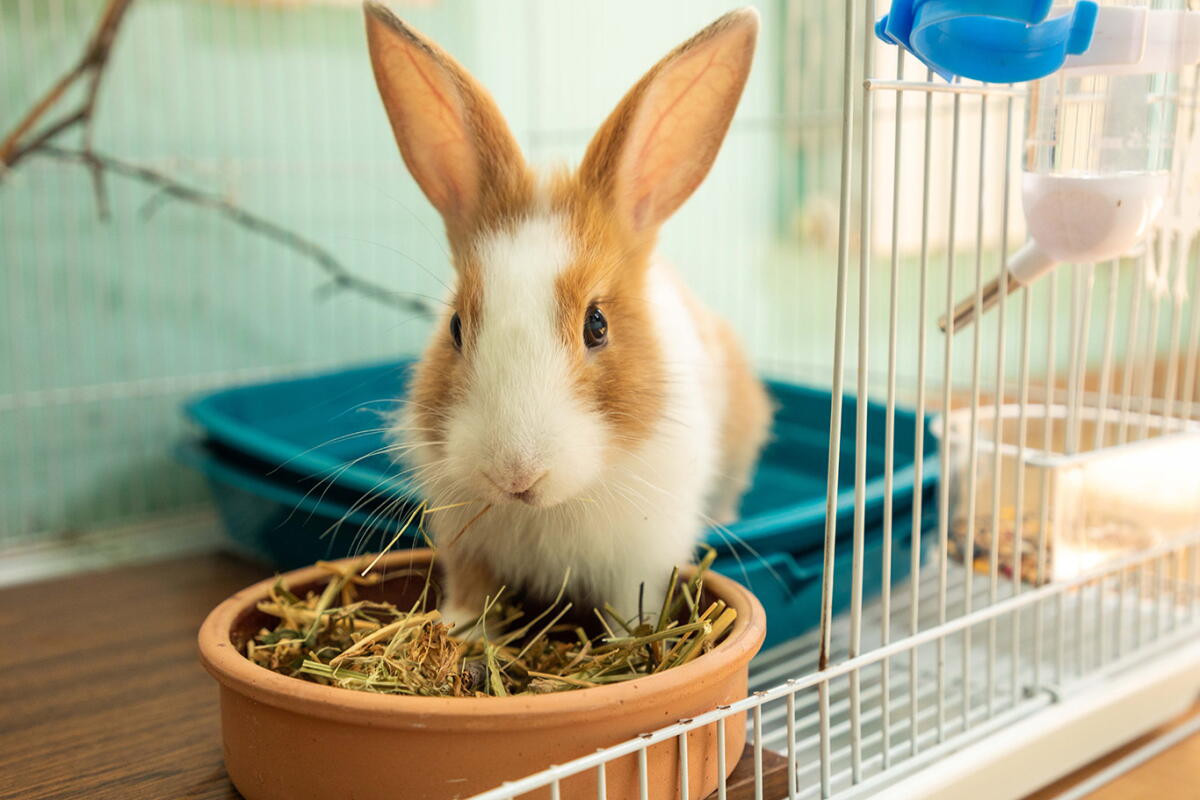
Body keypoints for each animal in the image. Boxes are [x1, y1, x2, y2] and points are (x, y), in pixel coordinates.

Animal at [364, 1, 772, 632]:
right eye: (455, 327)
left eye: (596, 324)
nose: (515, 475)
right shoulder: (466, 542)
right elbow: (472, 593)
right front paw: (458, 630)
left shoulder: (641, 560)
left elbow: (629, 612)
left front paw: (629, 642)